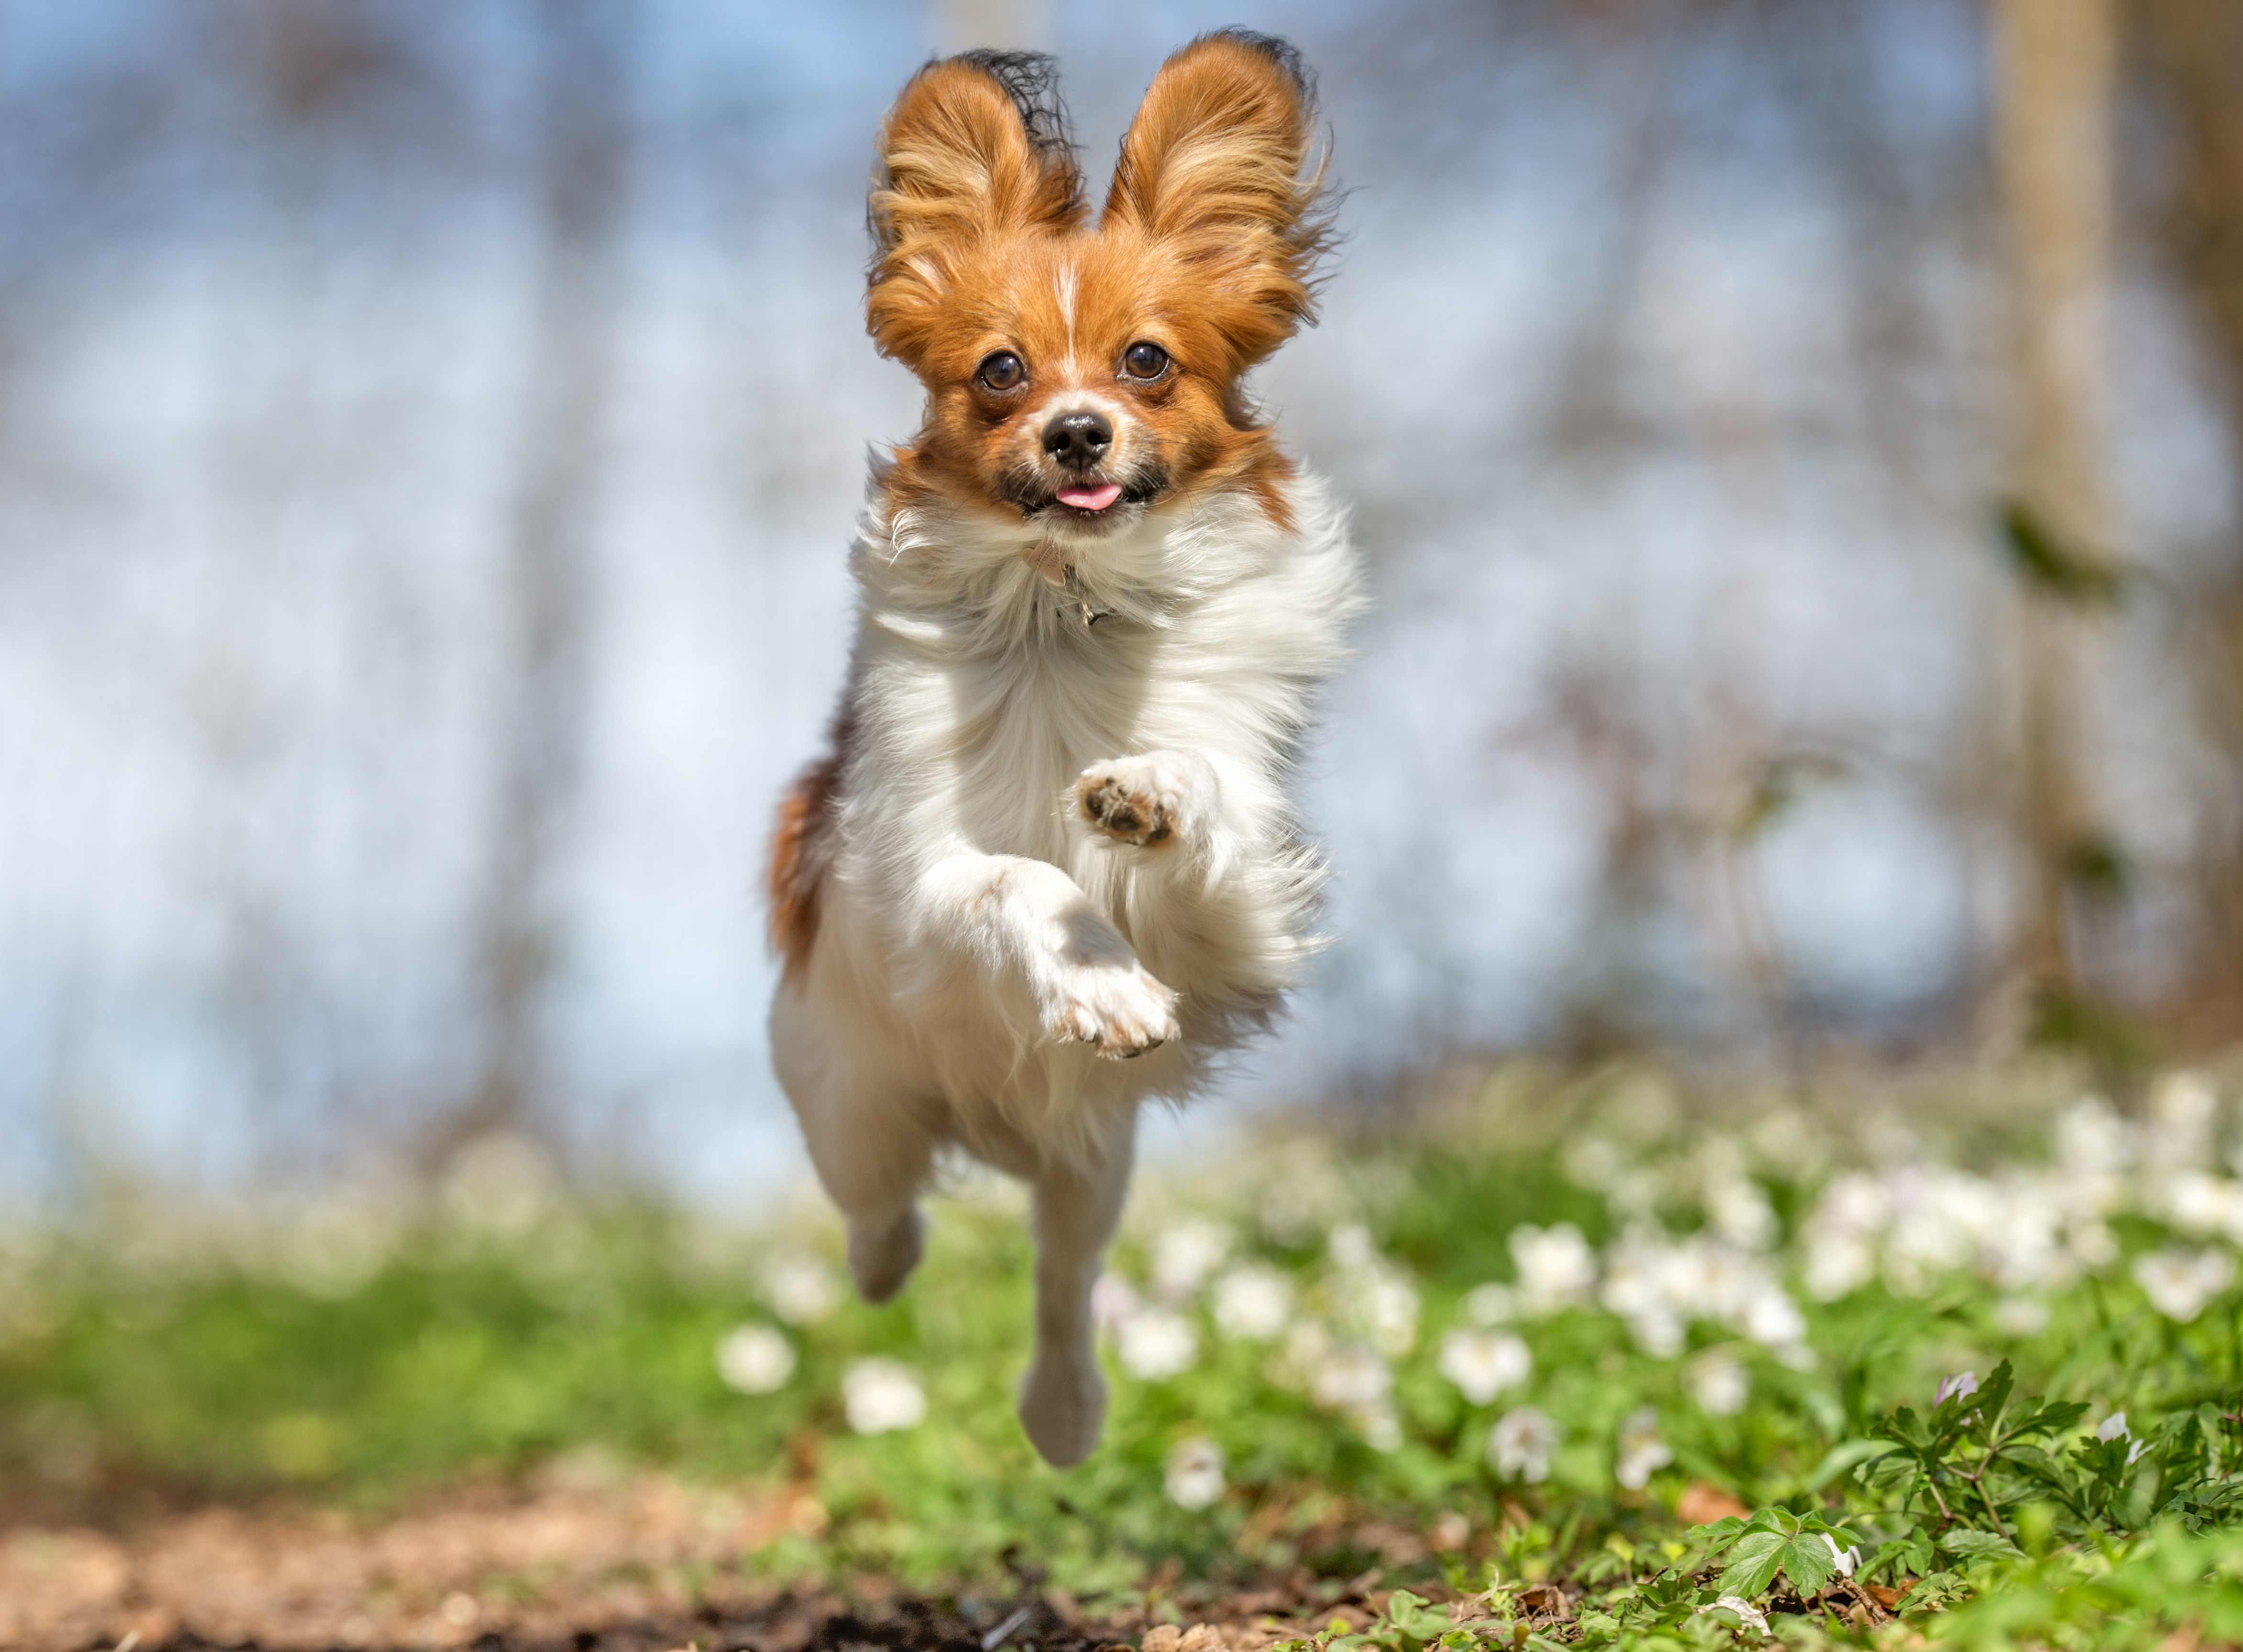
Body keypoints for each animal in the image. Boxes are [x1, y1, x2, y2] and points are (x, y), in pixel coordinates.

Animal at [771, 32, 1355, 1461]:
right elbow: (1013, 878)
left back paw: (1064, 1412)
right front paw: (1102, 984)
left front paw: (1142, 797)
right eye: (1000, 371)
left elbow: (1198, 810)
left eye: (1145, 362)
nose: (1077, 431)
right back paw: (886, 1266)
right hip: (850, 1099)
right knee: (879, 1212)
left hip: (1093, 1158)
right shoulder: (914, 884)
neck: (1066, 603)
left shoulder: (1238, 917)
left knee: (1062, 1269)